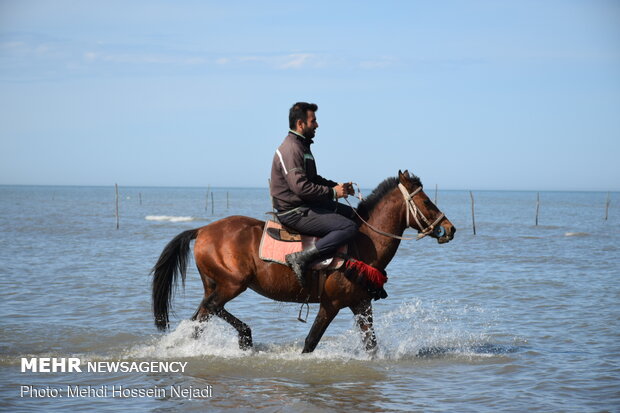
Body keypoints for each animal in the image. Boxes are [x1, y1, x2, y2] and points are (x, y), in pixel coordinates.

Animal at [152, 169, 452, 352]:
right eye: (427, 202)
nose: (449, 228)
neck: (362, 243)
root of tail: (203, 230)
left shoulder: (361, 303)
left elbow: (372, 346)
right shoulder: (331, 304)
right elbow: (310, 342)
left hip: (215, 285)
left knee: (200, 317)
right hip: (231, 284)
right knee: (212, 308)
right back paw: (245, 336)